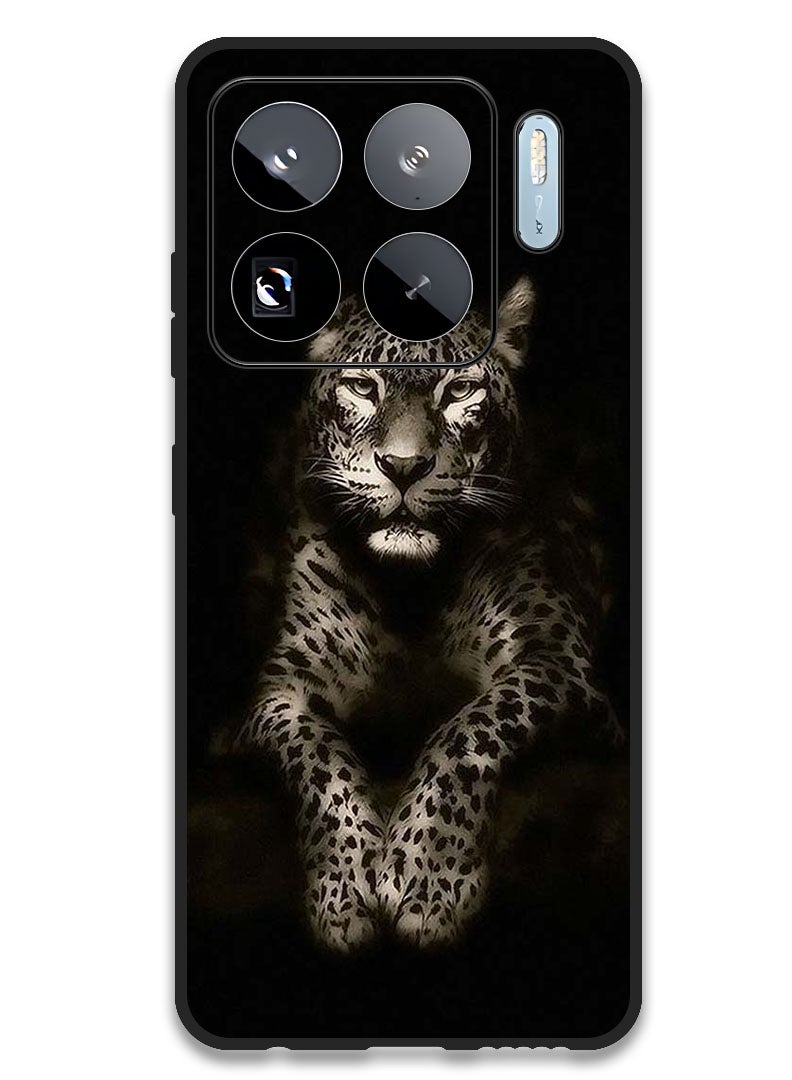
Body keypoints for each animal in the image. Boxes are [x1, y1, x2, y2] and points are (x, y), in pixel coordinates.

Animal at [235, 277, 623, 951]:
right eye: (364, 386)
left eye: (460, 390)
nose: (404, 467)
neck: (409, 590)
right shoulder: (280, 691)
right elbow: (318, 757)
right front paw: (344, 889)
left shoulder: (558, 661)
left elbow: (468, 730)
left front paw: (427, 878)